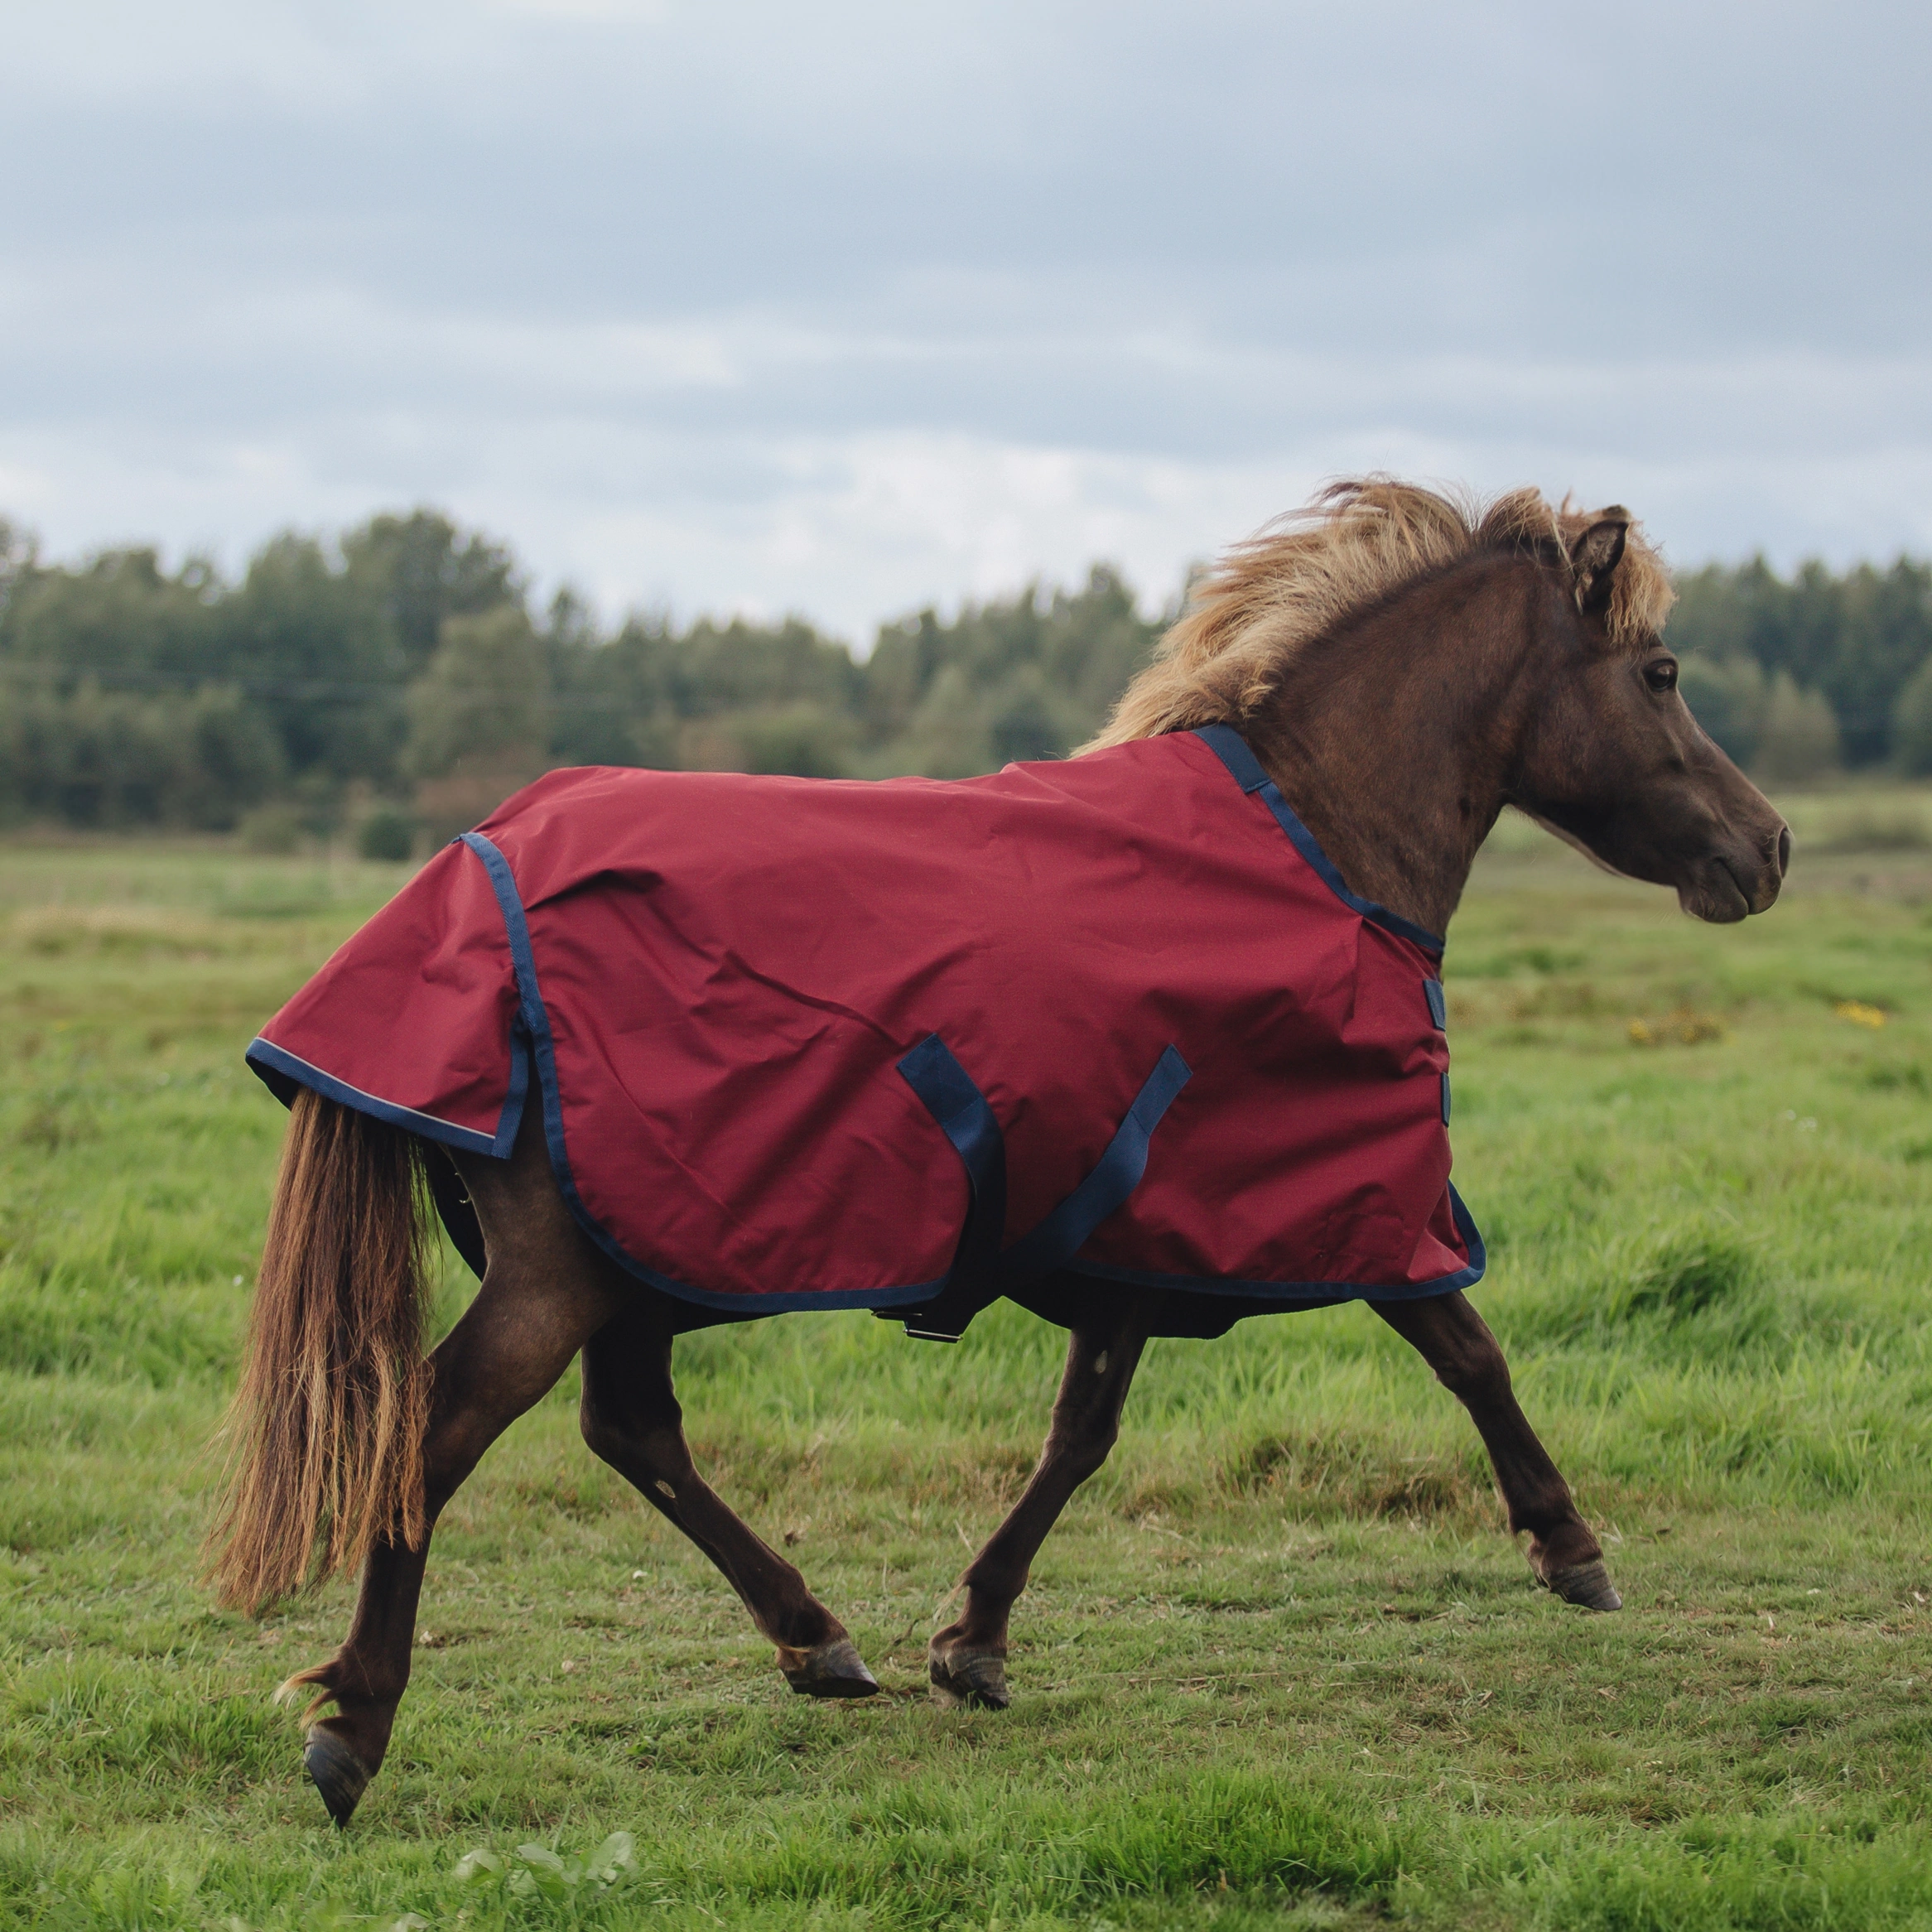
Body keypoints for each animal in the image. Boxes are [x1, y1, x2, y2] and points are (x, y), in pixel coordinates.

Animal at [209, 480, 1789, 1827]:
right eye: (1659, 673)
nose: (1766, 848)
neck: (1314, 844)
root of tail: (469, 867)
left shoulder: (1129, 1238)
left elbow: (1080, 1431)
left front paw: (967, 1640)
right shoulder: (1324, 1207)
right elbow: (1464, 1350)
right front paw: (1569, 1547)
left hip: (632, 1248)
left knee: (631, 1430)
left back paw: (815, 1639)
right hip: (565, 1266)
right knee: (439, 1428)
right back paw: (355, 1726)